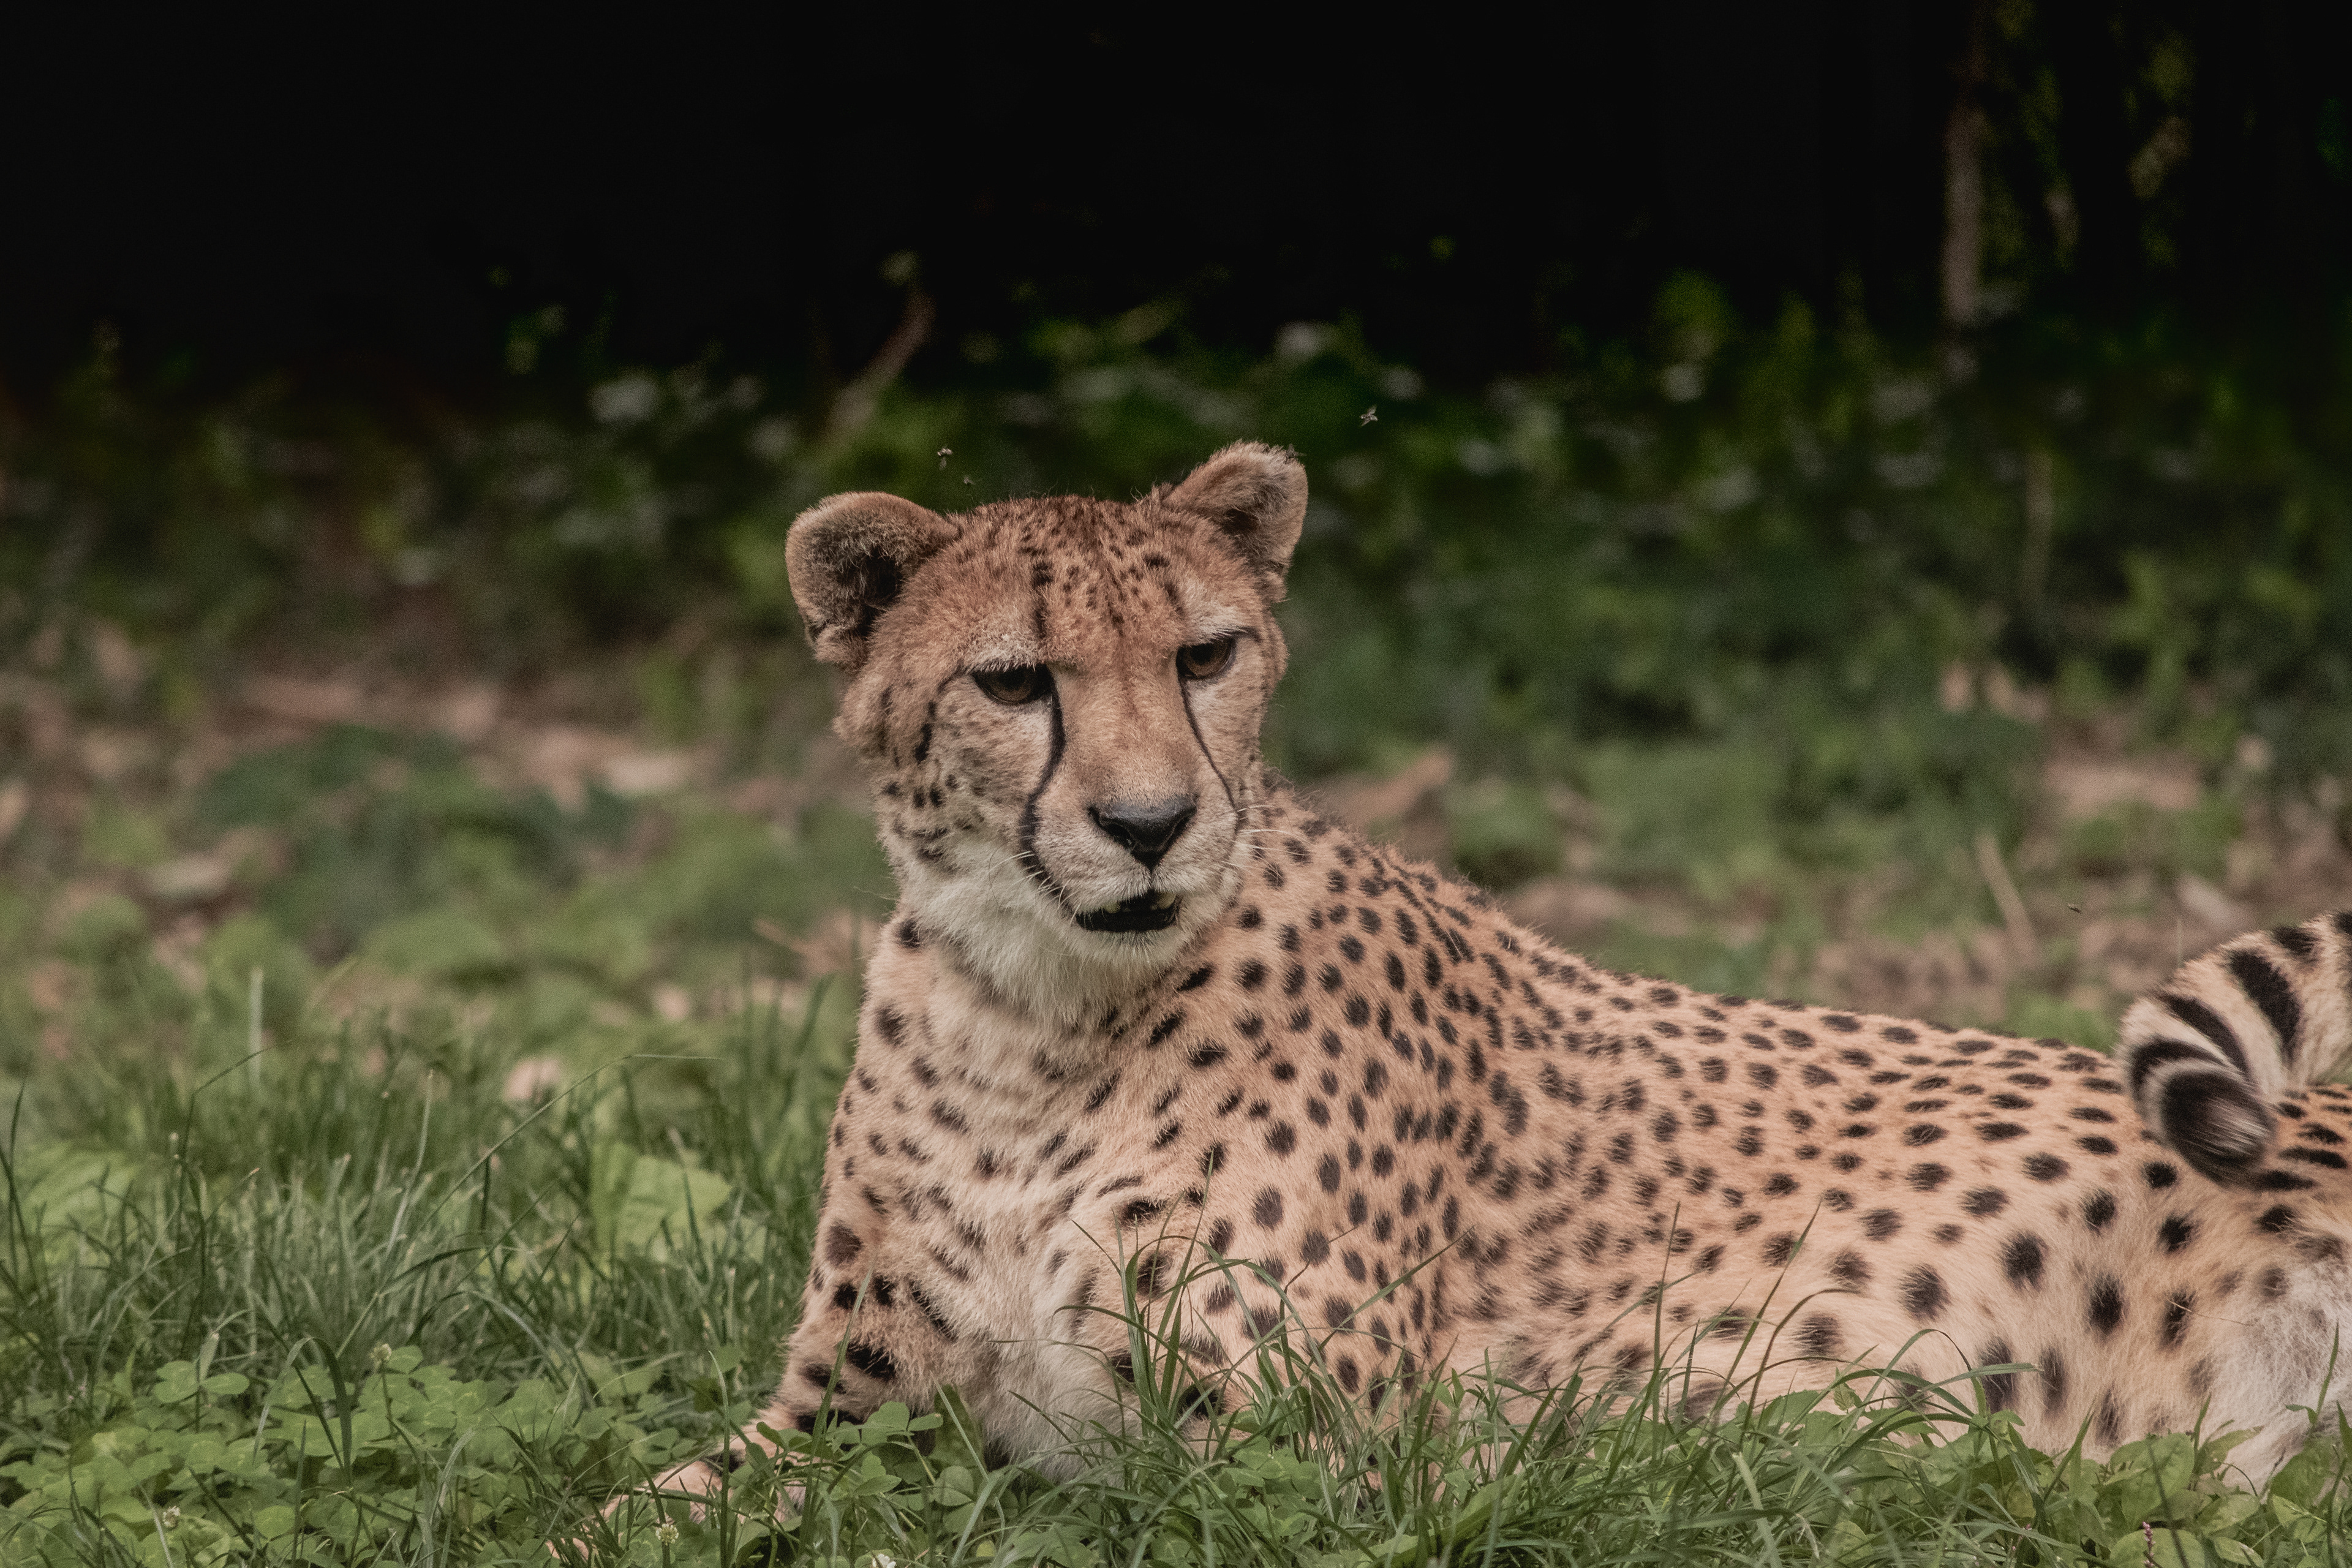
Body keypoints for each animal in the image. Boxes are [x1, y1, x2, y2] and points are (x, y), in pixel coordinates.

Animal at [644, 441, 2352, 1511]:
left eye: (1204, 655)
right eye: (1012, 681)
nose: (1149, 825)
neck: (1039, 1011)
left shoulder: (1311, 1458)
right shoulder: (843, 1405)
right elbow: (641, 1505)